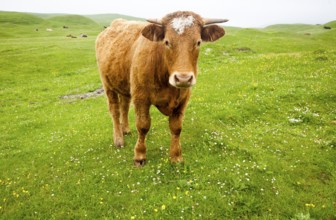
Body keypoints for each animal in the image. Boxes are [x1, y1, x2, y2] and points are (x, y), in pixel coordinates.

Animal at [97, 11, 228, 166]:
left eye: (198, 42)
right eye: (166, 42)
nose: (183, 78)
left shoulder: (183, 100)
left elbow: (176, 127)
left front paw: (176, 156)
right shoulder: (141, 98)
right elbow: (143, 126)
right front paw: (139, 156)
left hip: (125, 86)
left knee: (124, 106)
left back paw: (126, 130)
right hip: (108, 85)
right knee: (115, 111)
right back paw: (118, 139)